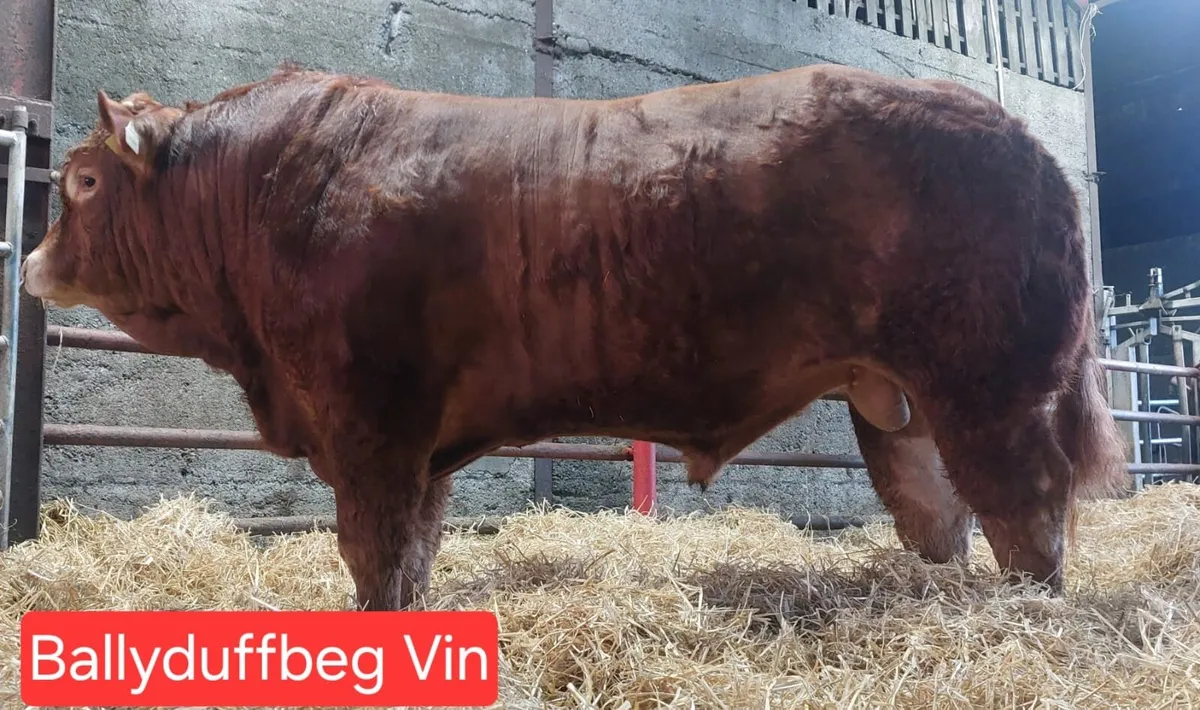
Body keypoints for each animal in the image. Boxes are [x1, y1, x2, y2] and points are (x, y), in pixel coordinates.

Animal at [22, 62, 1128, 611]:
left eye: (83, 181)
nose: (28, 261)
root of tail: (1026, 142)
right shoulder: (421, 438)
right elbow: (415, 543)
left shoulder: (371, 420)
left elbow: (375, 545)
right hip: (894, 400)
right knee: (938, 509)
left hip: (990, 381)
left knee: (1026, 505)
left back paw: (1032, 608)